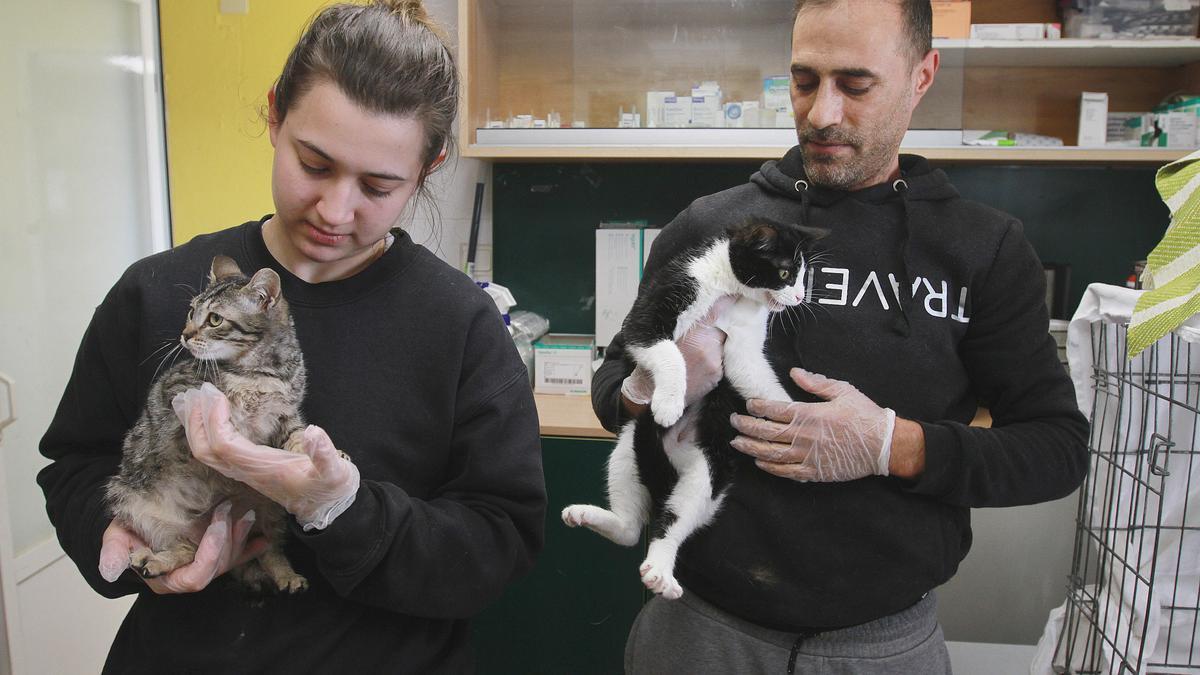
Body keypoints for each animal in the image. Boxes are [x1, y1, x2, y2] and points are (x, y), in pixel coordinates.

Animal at [561, 218, 825, 595]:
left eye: (805, 275)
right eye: (786, 272)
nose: (801, 297)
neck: (729, 288)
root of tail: (673, 459)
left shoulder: (744, 341)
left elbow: (753, 375)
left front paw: (802, 426)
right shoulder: (665, 296)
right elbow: (666, 349)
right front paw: (669, 401)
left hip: (708, 467)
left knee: (675, 516)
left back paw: (659, 568)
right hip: (628, 448)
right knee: (632, 527)